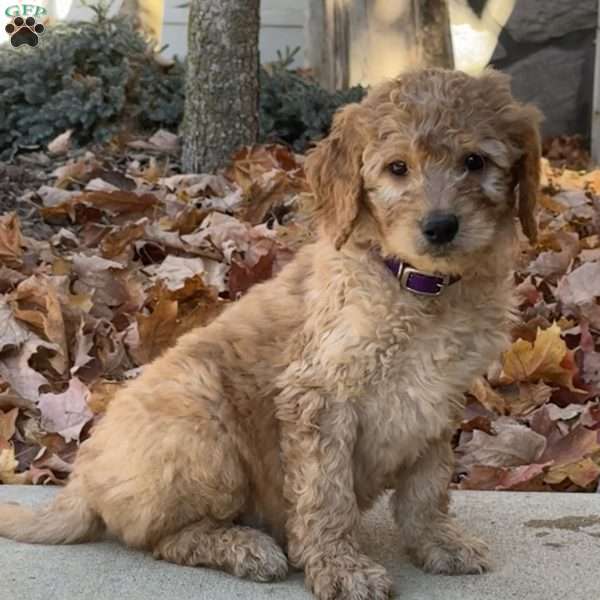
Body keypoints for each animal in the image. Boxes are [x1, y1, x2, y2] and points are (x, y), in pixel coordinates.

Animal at [0, 68, 540, 596]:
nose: (441, 226)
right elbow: (326, 494)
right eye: (397, 168)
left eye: (475, 161)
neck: (418, 288)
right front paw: (340, 567)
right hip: (201, 421)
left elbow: (428, 487)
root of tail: (85, 480)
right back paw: (245, 547)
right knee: (162, 538)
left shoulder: (439, 399)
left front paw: (438, 542)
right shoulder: (318, 396)